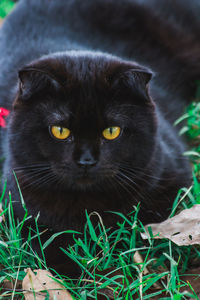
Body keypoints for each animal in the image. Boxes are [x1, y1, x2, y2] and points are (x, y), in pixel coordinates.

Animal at [0, 0, 199, 276]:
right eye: (60, 130)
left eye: (111, 131)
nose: (86, 160)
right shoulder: (21, 208)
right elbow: (48, 247)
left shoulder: (174, 178)